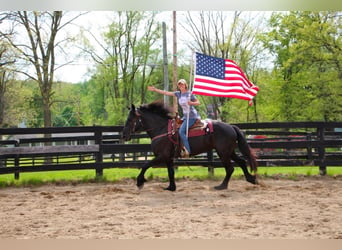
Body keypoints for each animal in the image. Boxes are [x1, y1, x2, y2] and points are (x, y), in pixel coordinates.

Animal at [121, 100, 258, 190]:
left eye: (130, 119)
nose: (123, 135)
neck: (162, 129)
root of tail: (231, 126)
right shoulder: (168, 158)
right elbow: (171, 172)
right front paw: (171, 187)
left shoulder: (161, 156)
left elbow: (145, 165)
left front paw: (140, 182)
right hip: (229, 151)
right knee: (241, 162)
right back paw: (251, 179)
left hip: (223, 152)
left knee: (230, 168)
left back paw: (222, 186)